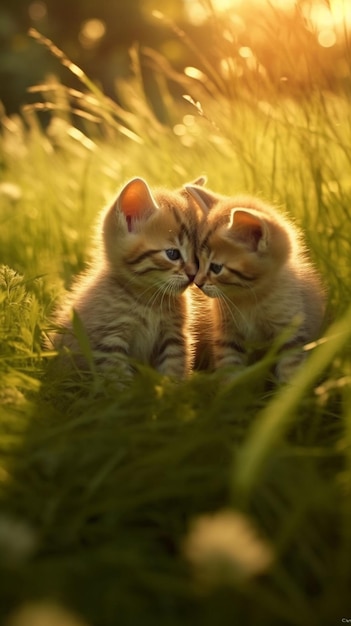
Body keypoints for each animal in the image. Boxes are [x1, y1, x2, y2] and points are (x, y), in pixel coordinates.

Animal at [48, 177, 205, 380]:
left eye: (197, 256)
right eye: (172, 254)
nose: (193, 274)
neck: (149, 300)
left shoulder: (175, 337)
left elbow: (173, 372)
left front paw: (171, 388)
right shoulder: (110, 341)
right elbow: (119, 380)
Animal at [187, 183, 328, 380]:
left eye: (216, 268)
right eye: (198, 262)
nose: (198, 283)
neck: (249, 297)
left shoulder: (291, 330)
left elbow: (290, 368)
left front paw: (290, 387)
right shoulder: (227, 335)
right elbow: (230, 369)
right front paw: (231, 387)